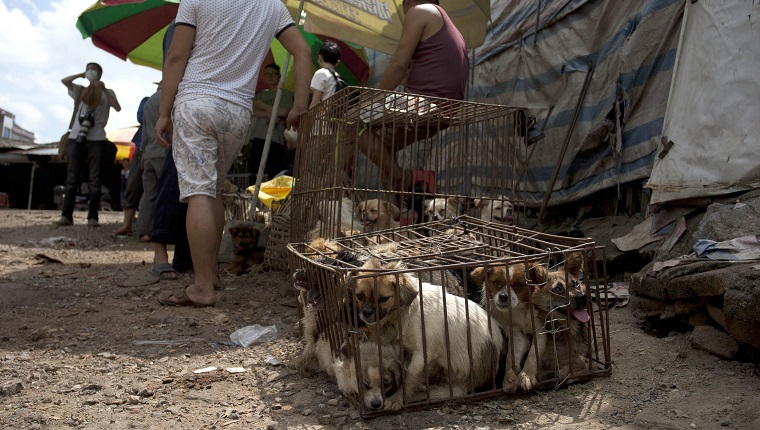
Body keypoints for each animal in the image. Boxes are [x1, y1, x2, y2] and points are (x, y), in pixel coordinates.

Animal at [350, 258, 504, 406]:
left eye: (383, 299)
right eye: (360, 296)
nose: (366, 313)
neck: (406, 311)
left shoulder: (423, 354)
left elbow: (409, 377)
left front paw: (396, 399)